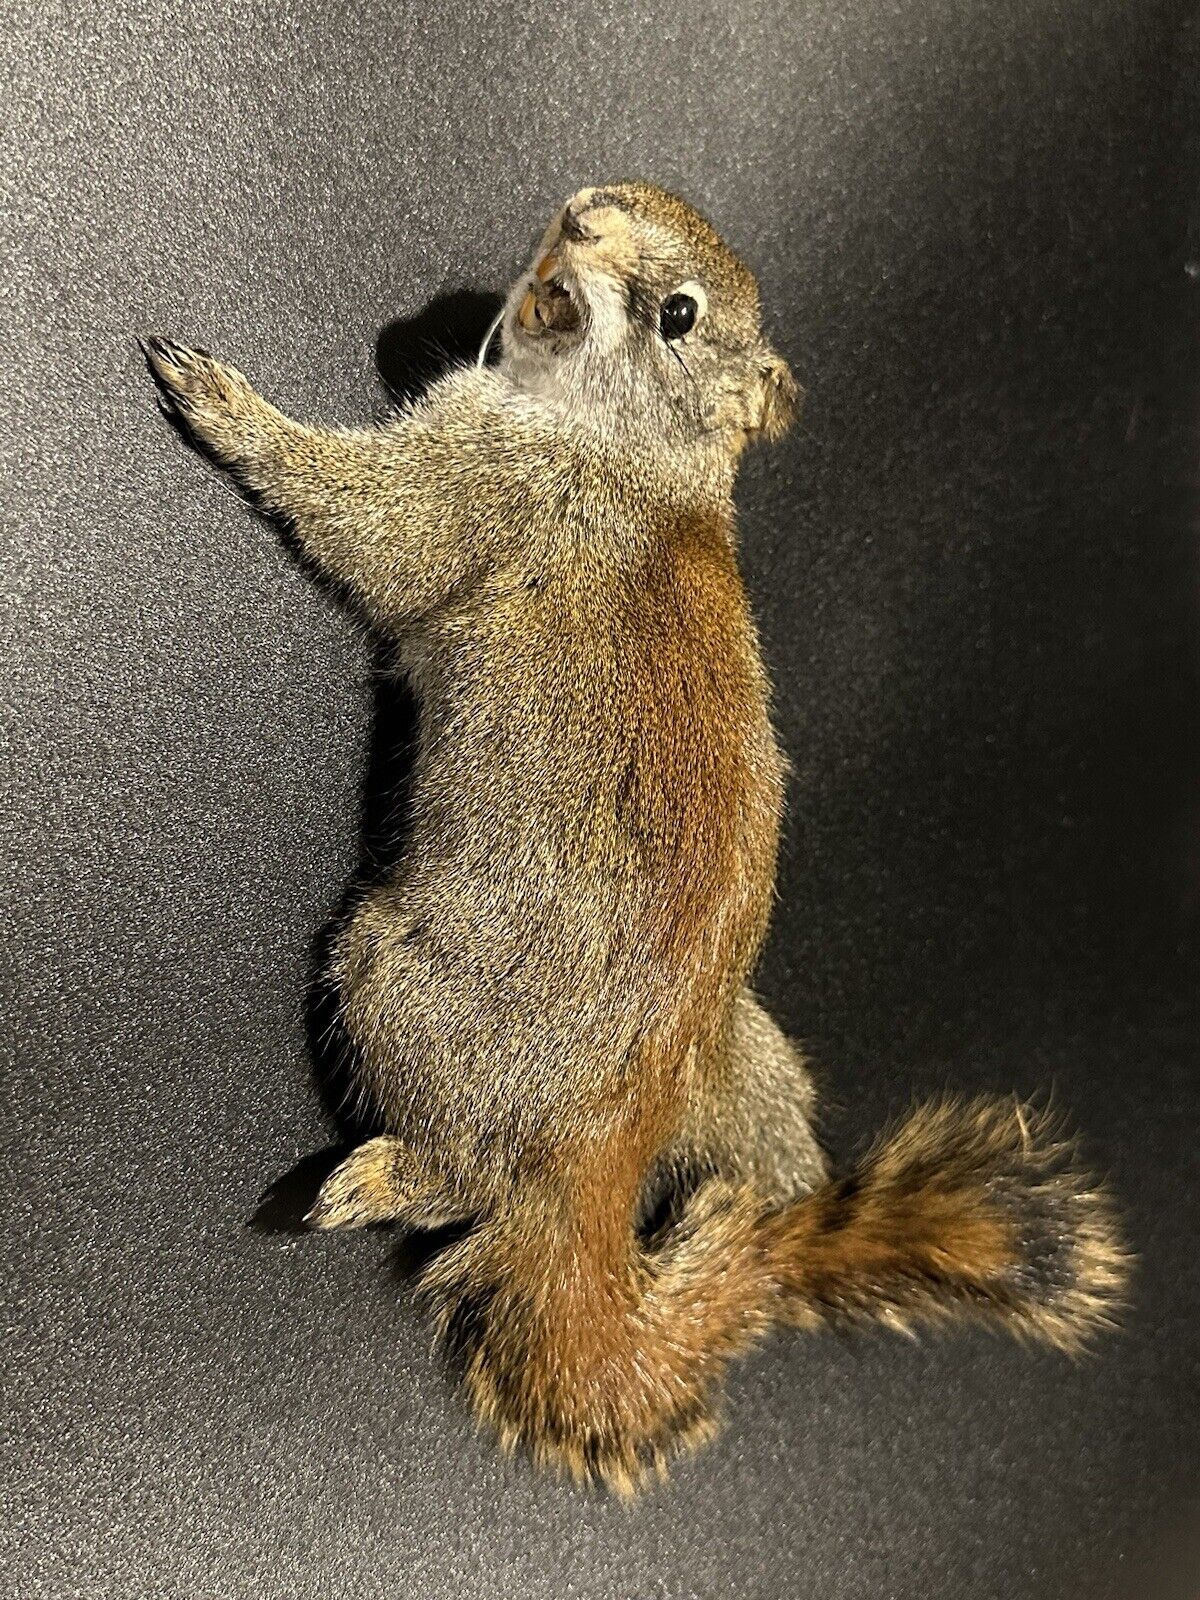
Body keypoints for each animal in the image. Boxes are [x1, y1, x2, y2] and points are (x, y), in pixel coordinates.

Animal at [144, 182, 1128, 1494]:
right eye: (628, 200)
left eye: (679, 315)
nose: (582, 214)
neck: (638, 453)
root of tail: (599, 1165)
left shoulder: (493, 480)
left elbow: (378, 528)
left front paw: (229, 405)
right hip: (747, 1079)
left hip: (398, 981)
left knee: (463, 1173)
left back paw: (382, 1174)